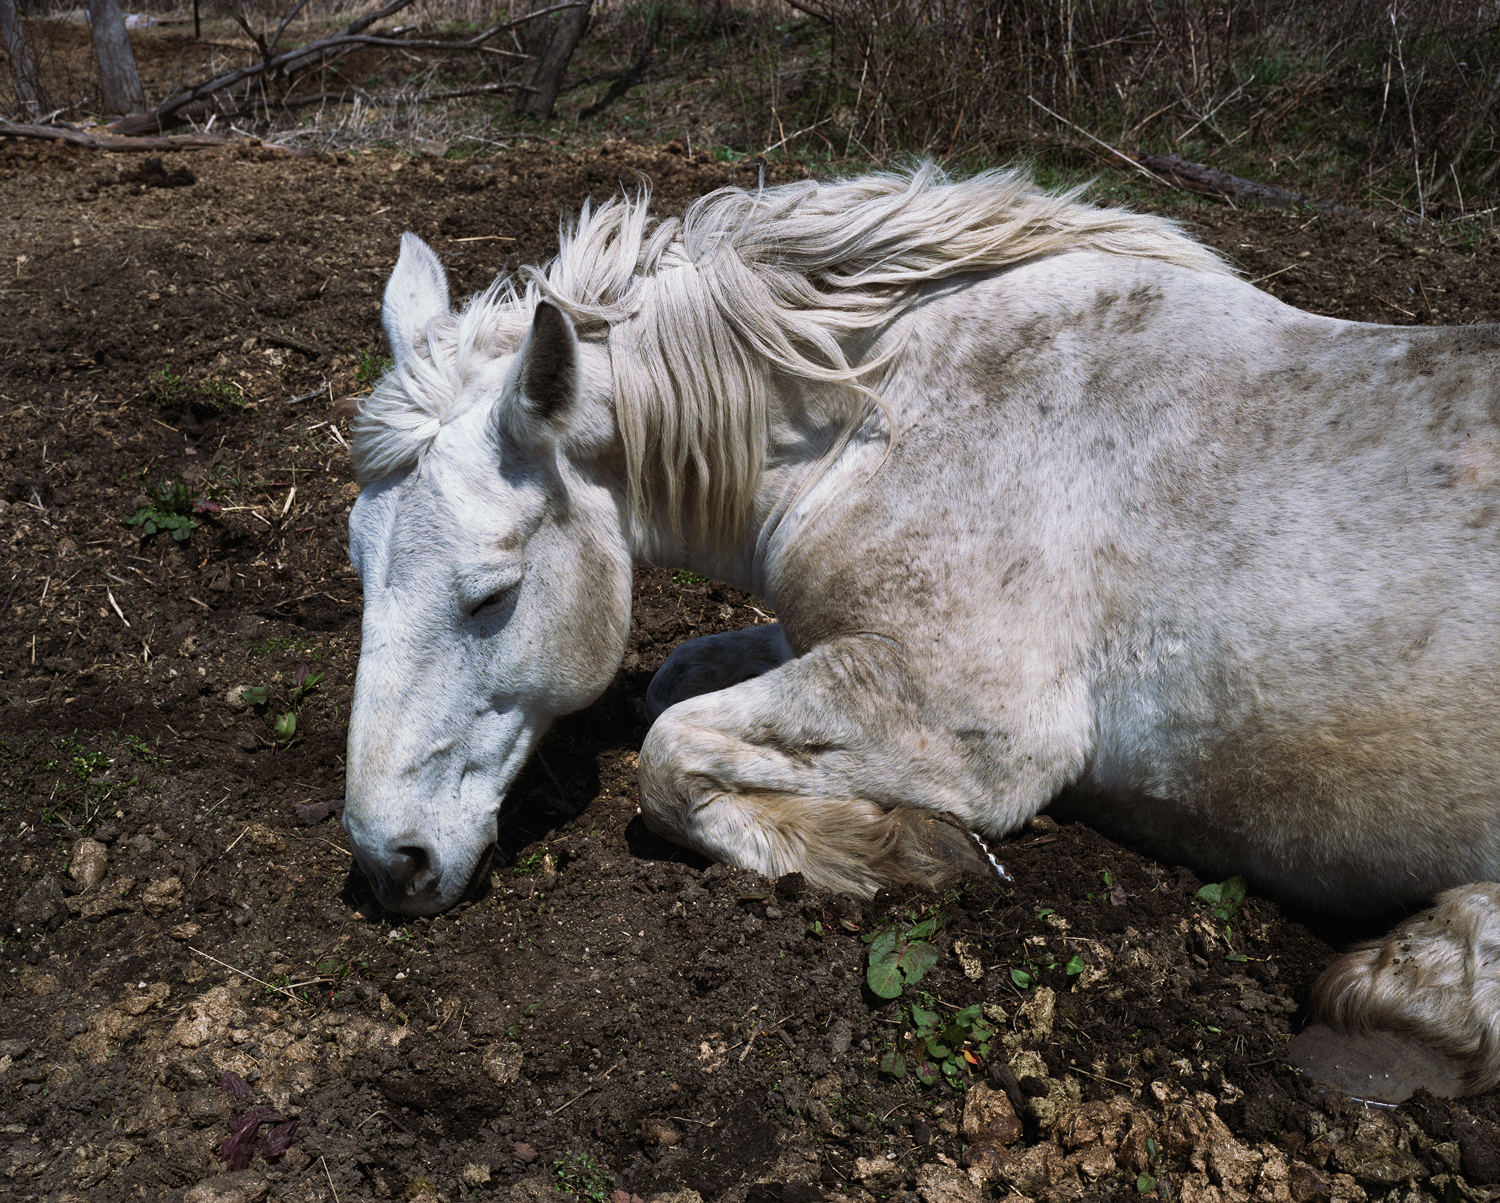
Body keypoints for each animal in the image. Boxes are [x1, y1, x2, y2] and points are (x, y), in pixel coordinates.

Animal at [340, 168, 1500, 1098]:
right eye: (357, 560)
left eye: (492, 593)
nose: (389, 864)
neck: (883, 419)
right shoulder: (842, 642)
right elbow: (679, 681)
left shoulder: (984, 729)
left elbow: (669, 755)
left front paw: (892, 848)